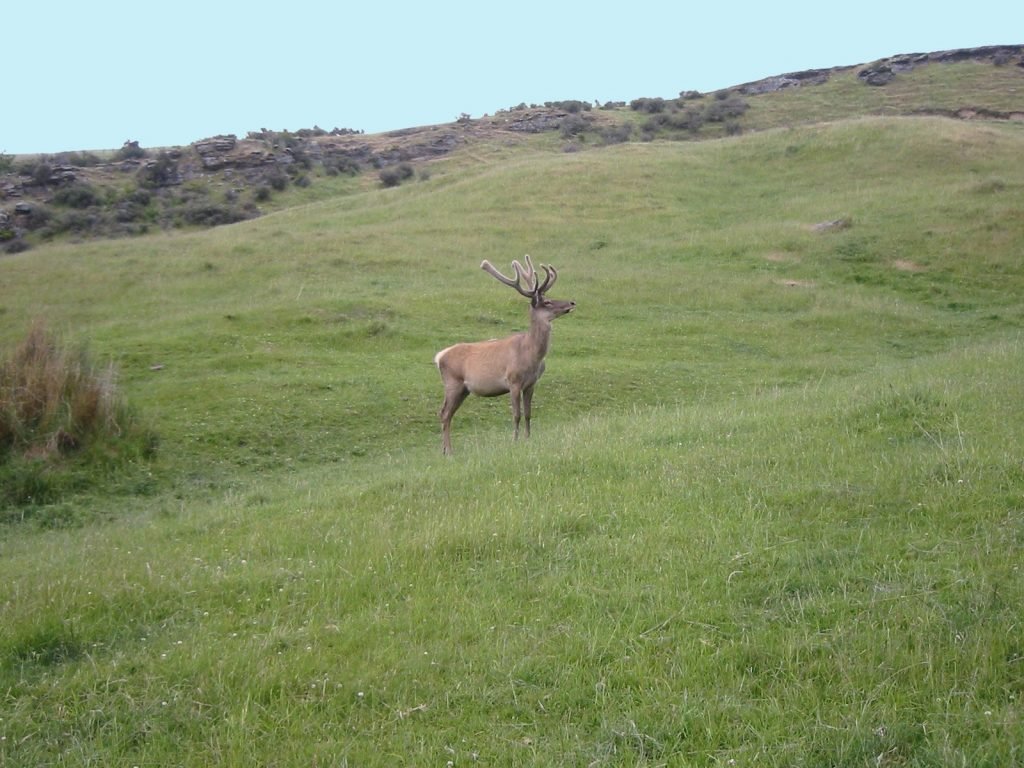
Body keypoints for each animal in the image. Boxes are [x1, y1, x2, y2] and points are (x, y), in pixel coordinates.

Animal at [432, 256, 577, 454]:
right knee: (444, 413)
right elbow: (516, 415)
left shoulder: (531, 383)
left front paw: (528, 439)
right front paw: (515, 441)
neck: (531, 354)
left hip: (463, 389)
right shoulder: (513, 381)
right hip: (452, 383)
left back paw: (444, 450)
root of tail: (439, 356)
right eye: (547, 302)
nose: (571, 303)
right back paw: (448, 451)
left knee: (447, 413)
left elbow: (528, 414)